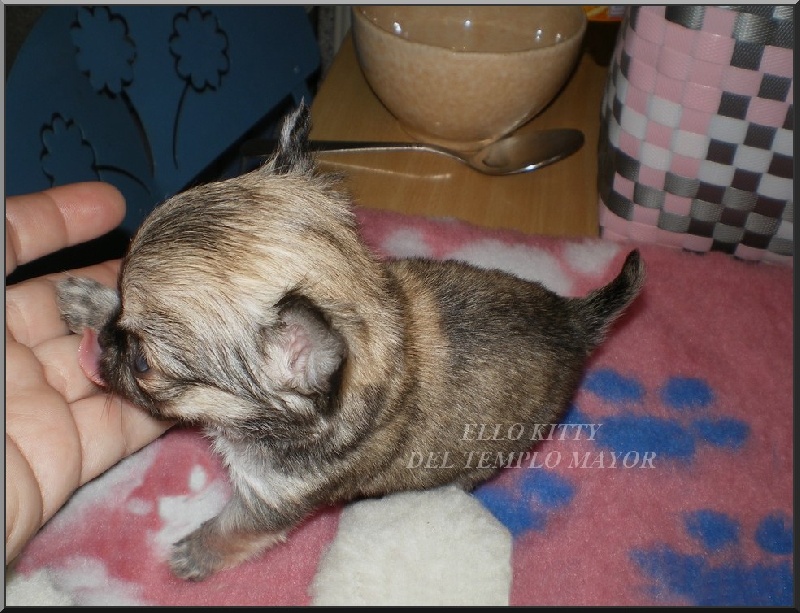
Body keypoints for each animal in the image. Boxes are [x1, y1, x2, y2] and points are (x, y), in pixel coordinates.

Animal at [57, 104, 644, 581]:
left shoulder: (271, 501)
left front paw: (196, 553)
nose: (106, 346)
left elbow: (234, 529)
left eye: (142, 362)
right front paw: (89, 303)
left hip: (497, 448)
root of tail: (574, 319)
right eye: (121, 316)